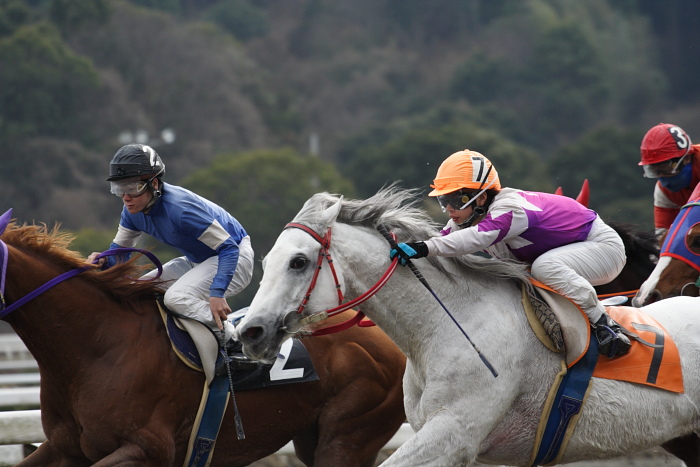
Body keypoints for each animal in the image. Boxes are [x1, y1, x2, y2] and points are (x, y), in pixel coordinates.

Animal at [0, 219, 404, 467]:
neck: (97, 345)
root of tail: (390, 340)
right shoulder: (65, 449)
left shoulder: (147, 450)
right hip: (311, 437)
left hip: (347, 436)